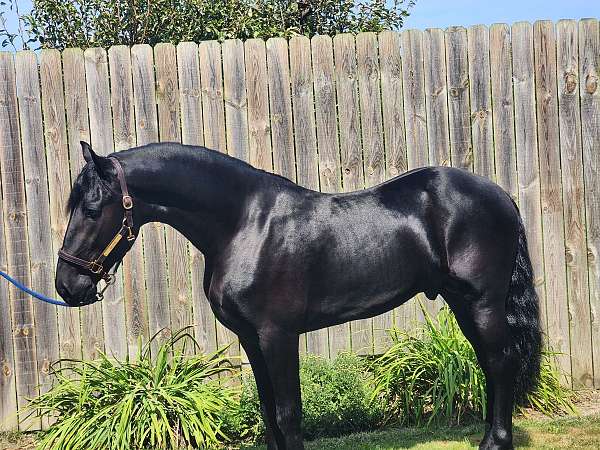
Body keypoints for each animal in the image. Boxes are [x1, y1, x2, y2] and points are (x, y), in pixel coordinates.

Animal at [57, 142, 544, 450]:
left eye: (92, 208)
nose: (67, 285)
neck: (244, 224)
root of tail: (500, 195)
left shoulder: (278, 335)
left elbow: (288, 412)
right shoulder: (251, 339)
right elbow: (268, 410)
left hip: (481, 302)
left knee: (500, 363)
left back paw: (495, 443)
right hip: (462, 303)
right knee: (490, 364)